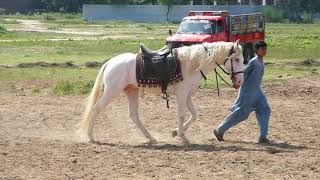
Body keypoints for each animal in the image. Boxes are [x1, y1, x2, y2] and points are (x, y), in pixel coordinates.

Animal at [77, 40, 245, 145]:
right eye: (236, 59)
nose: (239, 81)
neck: (192, 63)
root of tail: (110, 62)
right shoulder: (182, 94)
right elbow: (182, 114)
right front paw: (183, 137)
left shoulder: (187, 95)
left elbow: (194, 115)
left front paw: (176, 132)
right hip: (112, 92)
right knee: (96, 109)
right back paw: (91, 137)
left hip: (132, 91)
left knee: (134, 116)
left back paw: (151, 138)